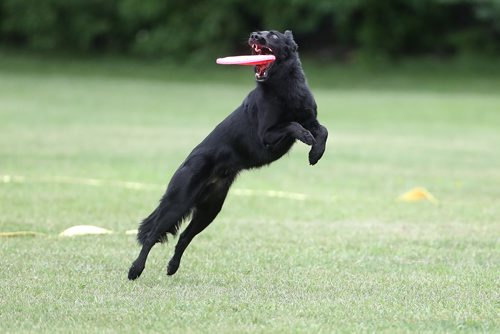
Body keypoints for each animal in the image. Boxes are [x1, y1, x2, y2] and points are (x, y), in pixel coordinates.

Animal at [128, 30, 328, 280]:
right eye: (261, 33)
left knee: (183, 237)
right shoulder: (266, 135)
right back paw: (135, 270)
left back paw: (172, 267)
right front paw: (307, 139)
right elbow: (292, 124)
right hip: (178, 203)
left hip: (210, 210)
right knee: (152, 235)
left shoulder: (311, 119)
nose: (254, 35)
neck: (282, 87)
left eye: (272, 35)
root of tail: (185, 165)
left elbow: (323, 130)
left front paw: (315, 153)